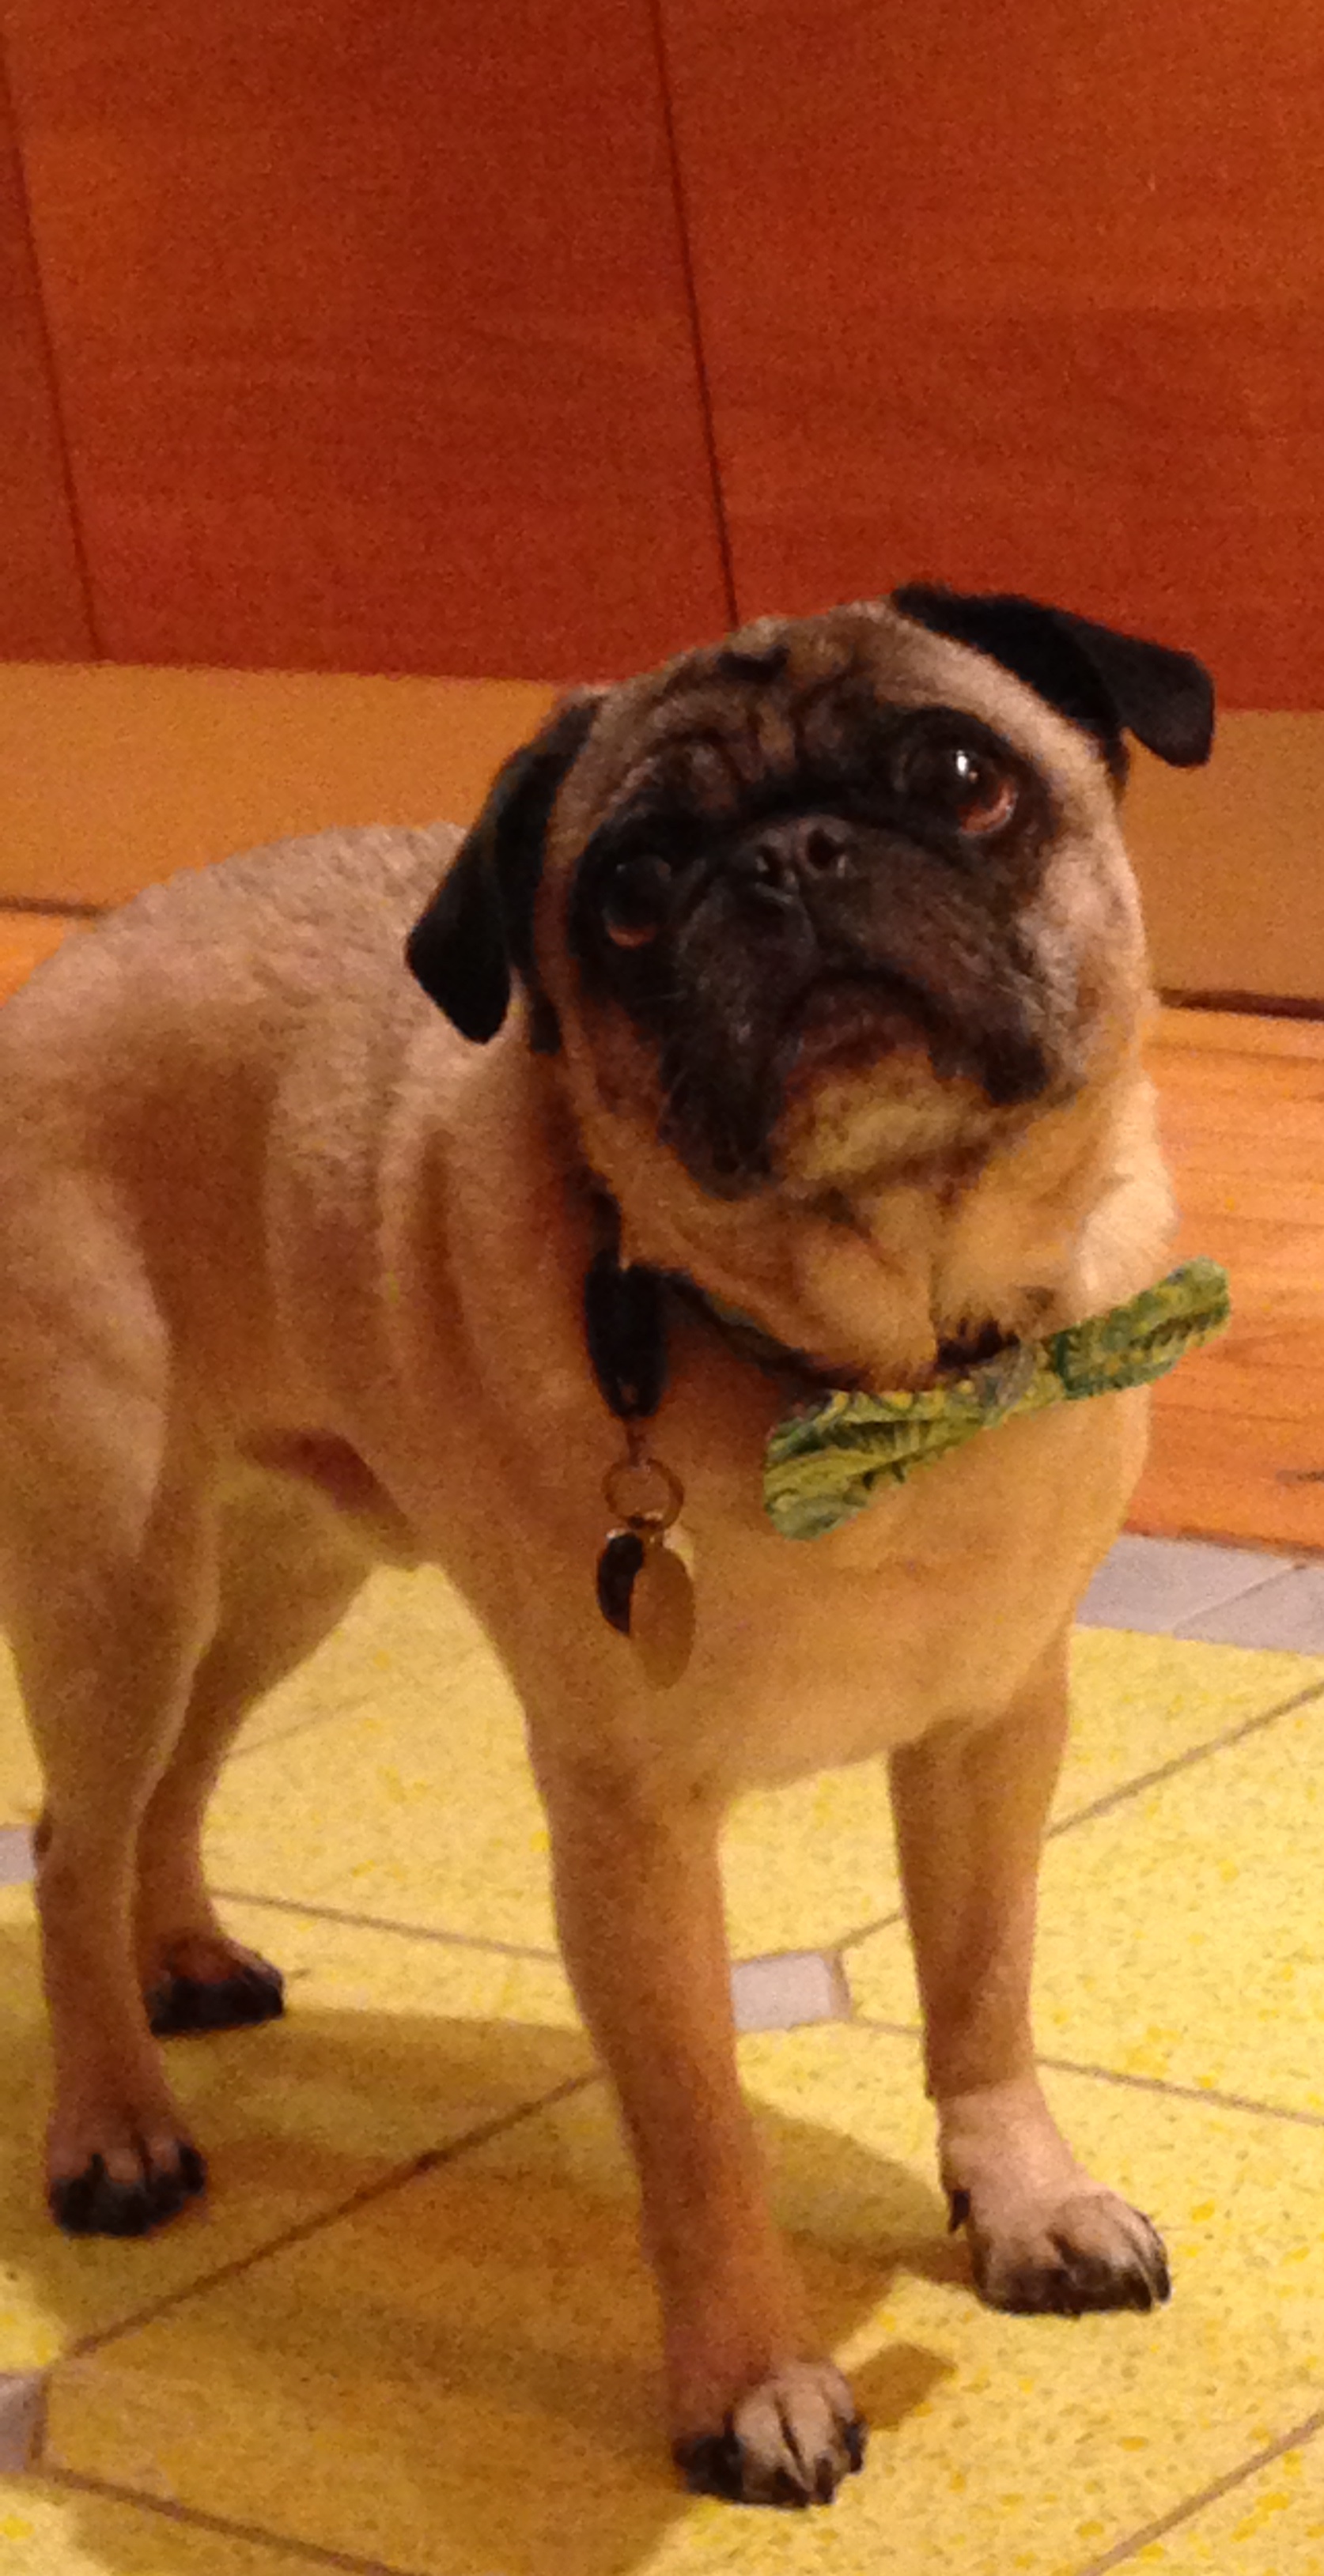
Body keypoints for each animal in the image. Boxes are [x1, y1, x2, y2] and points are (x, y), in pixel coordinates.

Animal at [0, 584, 1205, 2493]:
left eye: (962, 776)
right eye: (631, 889)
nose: (792, 854)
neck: (871, 1365)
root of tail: (75, 963)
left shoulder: (993, 1735)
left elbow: (980, 1991)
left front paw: (1024, 2202)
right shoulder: (632, 1836)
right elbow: (697, 2130)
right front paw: (750, 2379)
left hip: (280, 1581)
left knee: (163, 1799)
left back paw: (179, 1954)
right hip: (118, 1577)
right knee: (68, 1841)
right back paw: (112, 2127)